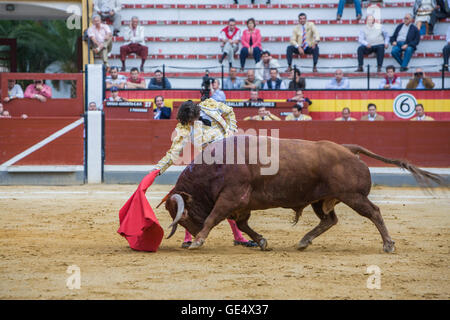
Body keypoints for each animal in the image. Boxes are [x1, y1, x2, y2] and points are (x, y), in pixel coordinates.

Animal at [159, 136, 442, 254]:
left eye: (182, 217)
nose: (191, 235)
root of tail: (348, 149)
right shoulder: (241, 204)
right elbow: (243, 224)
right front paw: (262, 242)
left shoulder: (231, 197)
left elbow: (214, 217)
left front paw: (198, 241)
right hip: (321, 200)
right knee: (329, 220)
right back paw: (304, 241)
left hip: (353, 196)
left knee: (374, 212)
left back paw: (388, 244)